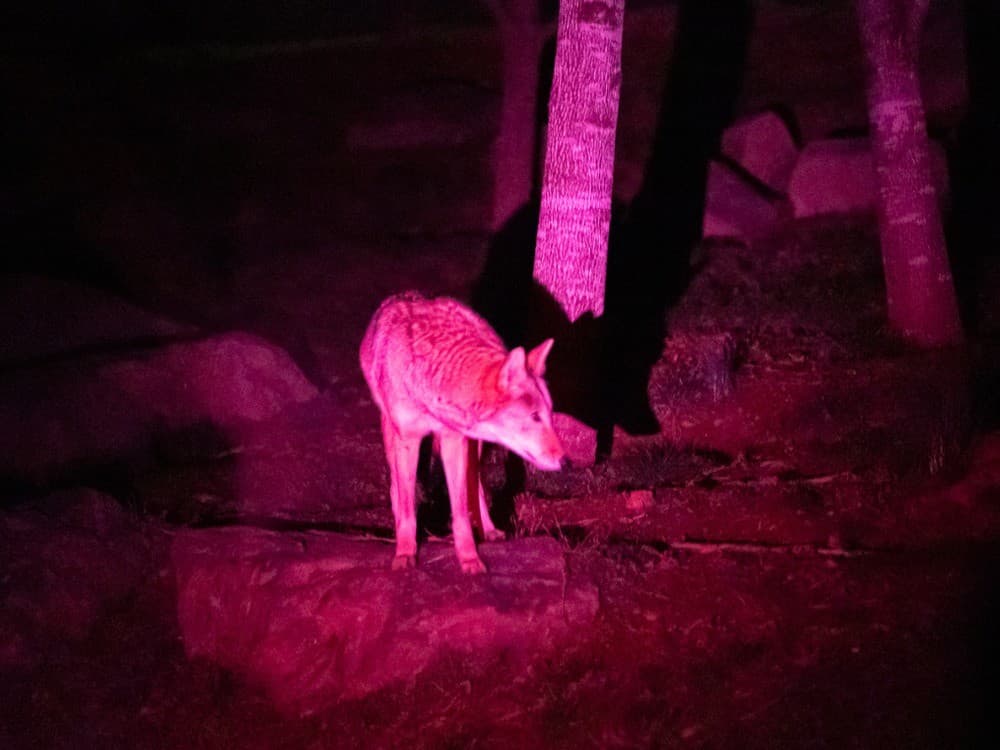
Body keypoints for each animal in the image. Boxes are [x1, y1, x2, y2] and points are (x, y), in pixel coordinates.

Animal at [360, 291, 567, 573]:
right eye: (535, 417)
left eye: (549, 414)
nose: (565, 461)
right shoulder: (408, 439)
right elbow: (408, 508)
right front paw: (404, 552)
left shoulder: (454, 440)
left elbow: (460, 513)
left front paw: (469, 558)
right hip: (391, 432)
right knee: (396, 484)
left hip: (474, 446)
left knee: (476, 487)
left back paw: (489, 530)